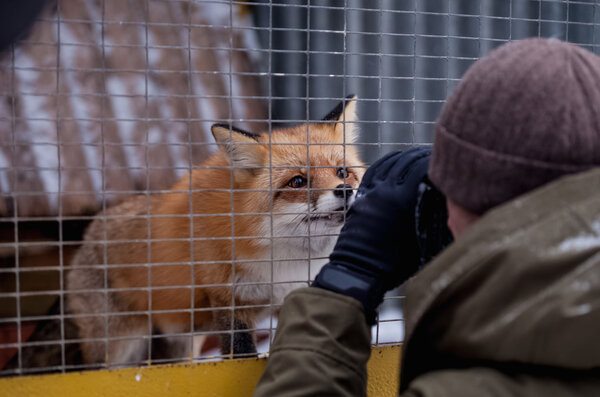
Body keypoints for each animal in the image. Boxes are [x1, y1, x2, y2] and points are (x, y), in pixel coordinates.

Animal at [67, 94, 366, 364]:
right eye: (297, 181)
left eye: (342, 172)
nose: (344, 190)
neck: (285, 259)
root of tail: (86, 237)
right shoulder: (228, 297)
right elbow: (240, 355)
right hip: (118, 346)